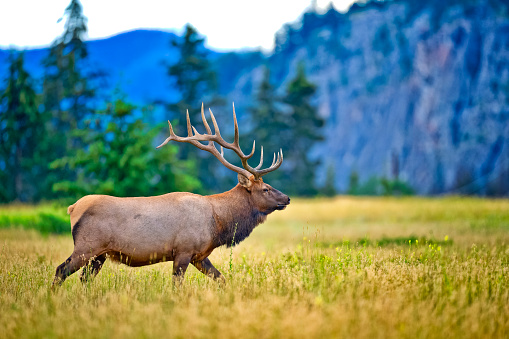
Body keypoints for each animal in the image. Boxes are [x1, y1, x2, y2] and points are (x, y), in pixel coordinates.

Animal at [52, 105, 290, 288]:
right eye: (266, 188)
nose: (287, 198)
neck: (218, 223)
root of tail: (72, 208)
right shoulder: (184, 250)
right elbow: (177, 285)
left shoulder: (199, 256)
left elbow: (221, 279)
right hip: (86, 247)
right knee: (60, 270)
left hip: (99, 255)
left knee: (84, 280)